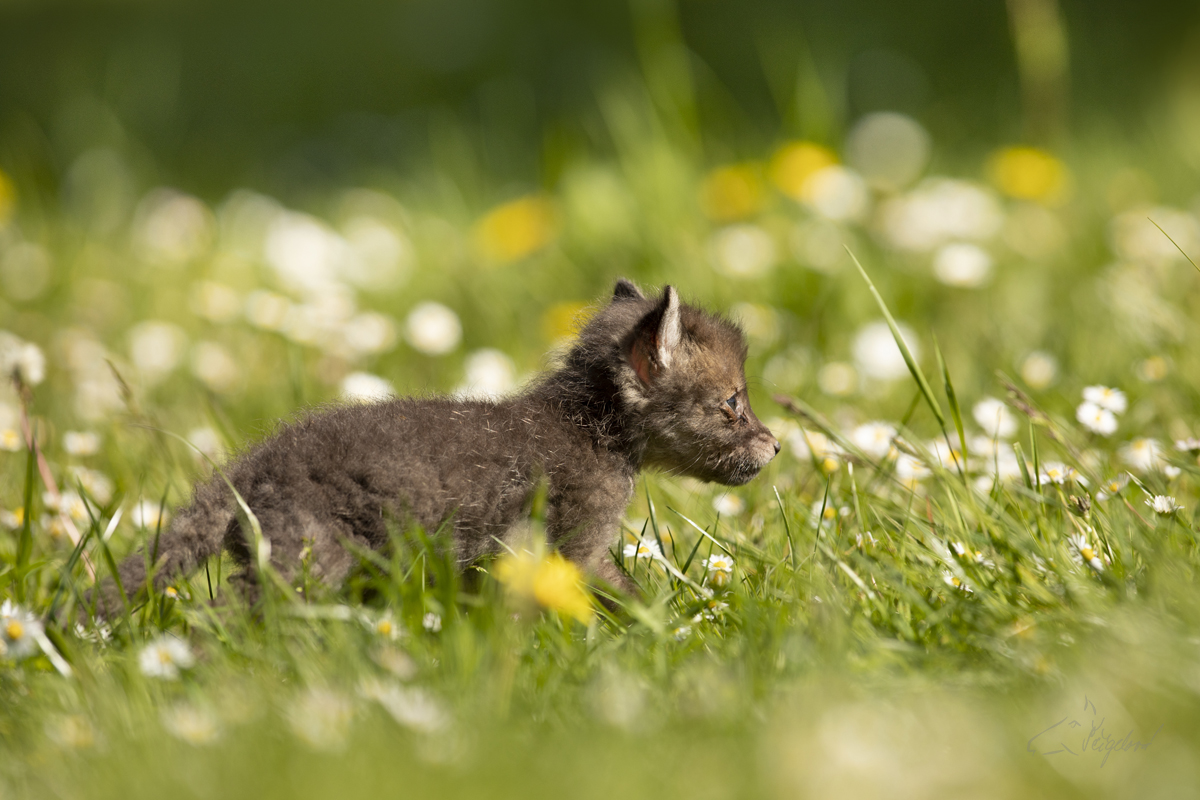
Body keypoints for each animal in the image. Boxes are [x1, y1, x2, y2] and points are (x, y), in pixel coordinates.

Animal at [94, 279, 779, 614]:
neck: (590, 429)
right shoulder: (578, 546)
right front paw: (678, 628)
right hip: (309, 559)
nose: (774, 446)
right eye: (733, 403)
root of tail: (246, 466)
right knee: (222, 614)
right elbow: (631, 597)